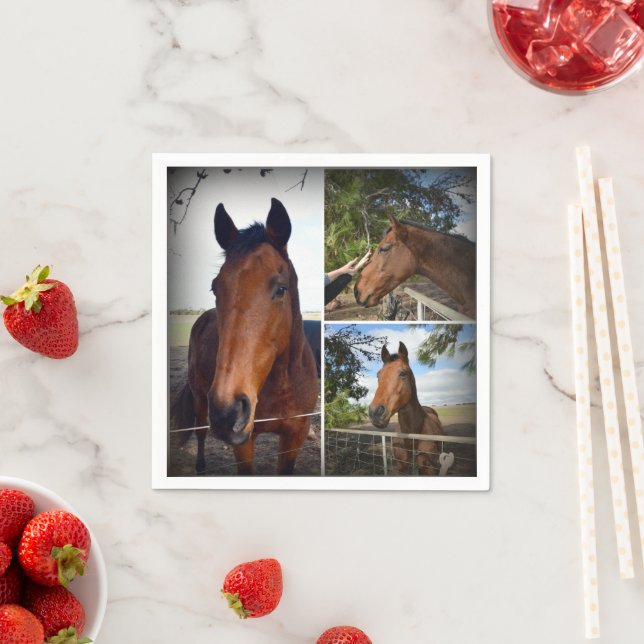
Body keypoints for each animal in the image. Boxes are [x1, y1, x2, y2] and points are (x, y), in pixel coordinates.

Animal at [171, 198, 319, 475]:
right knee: (200, 432)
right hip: (200, 398)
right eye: (214, 288)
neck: (281, 383)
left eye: (281, 289)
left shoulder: (295, 435)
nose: (227, 412)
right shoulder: (243, 441)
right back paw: (200, 465)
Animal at [368, 341, 444, 475]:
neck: (413, 439)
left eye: (403, 373)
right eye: (378, 375)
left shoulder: (429, 470)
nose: (375, 412)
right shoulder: (400, 468)